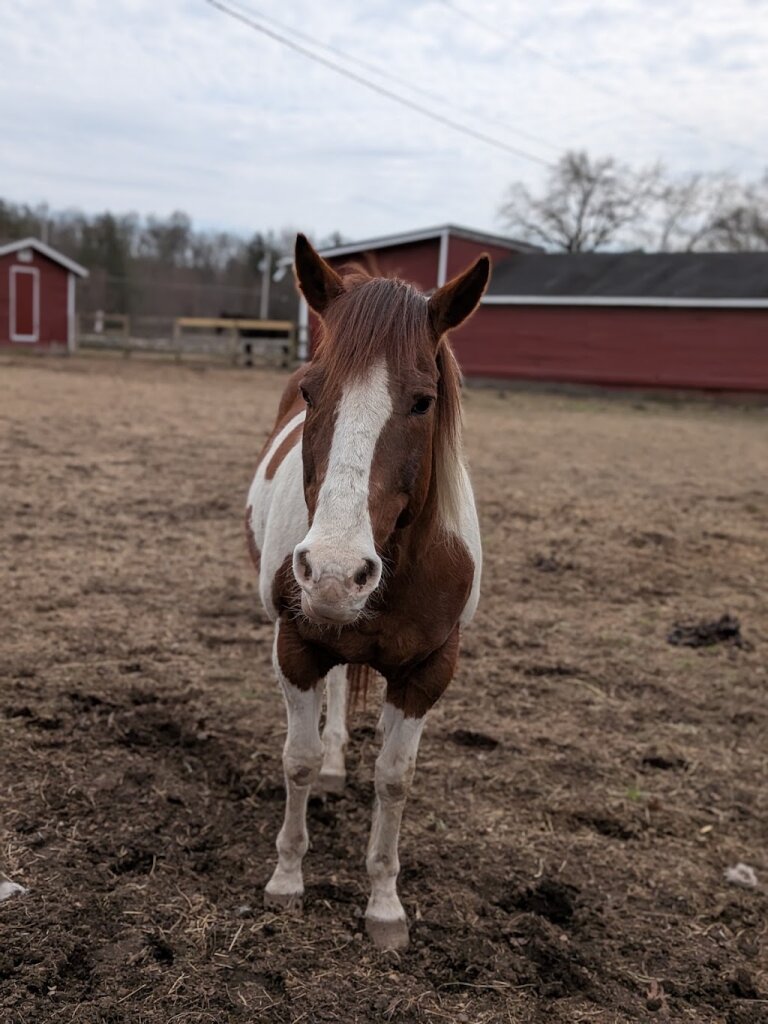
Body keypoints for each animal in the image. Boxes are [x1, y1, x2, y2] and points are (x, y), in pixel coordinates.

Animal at [245, 234, 489, 950]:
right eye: (310, 390)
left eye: (423, 400)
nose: (333, 570)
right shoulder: (296, 646)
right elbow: (297, 760)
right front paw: (287, 880)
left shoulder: (430, 670)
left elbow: (395, 779)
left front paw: (385, 905)